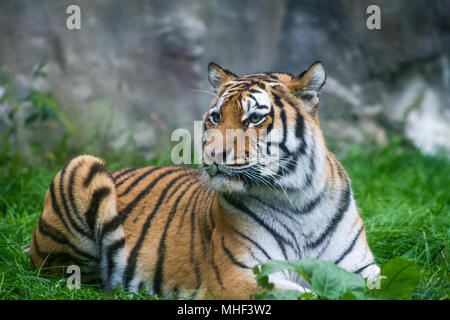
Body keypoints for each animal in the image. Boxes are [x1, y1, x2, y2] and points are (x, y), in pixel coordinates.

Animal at [28, 60, 380, 300]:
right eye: (215, 117)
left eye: (254, 118)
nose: (210, 153)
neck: (296, 199)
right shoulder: (239, 276)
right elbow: (307, 294)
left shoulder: (361, 270)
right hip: (82, 167)